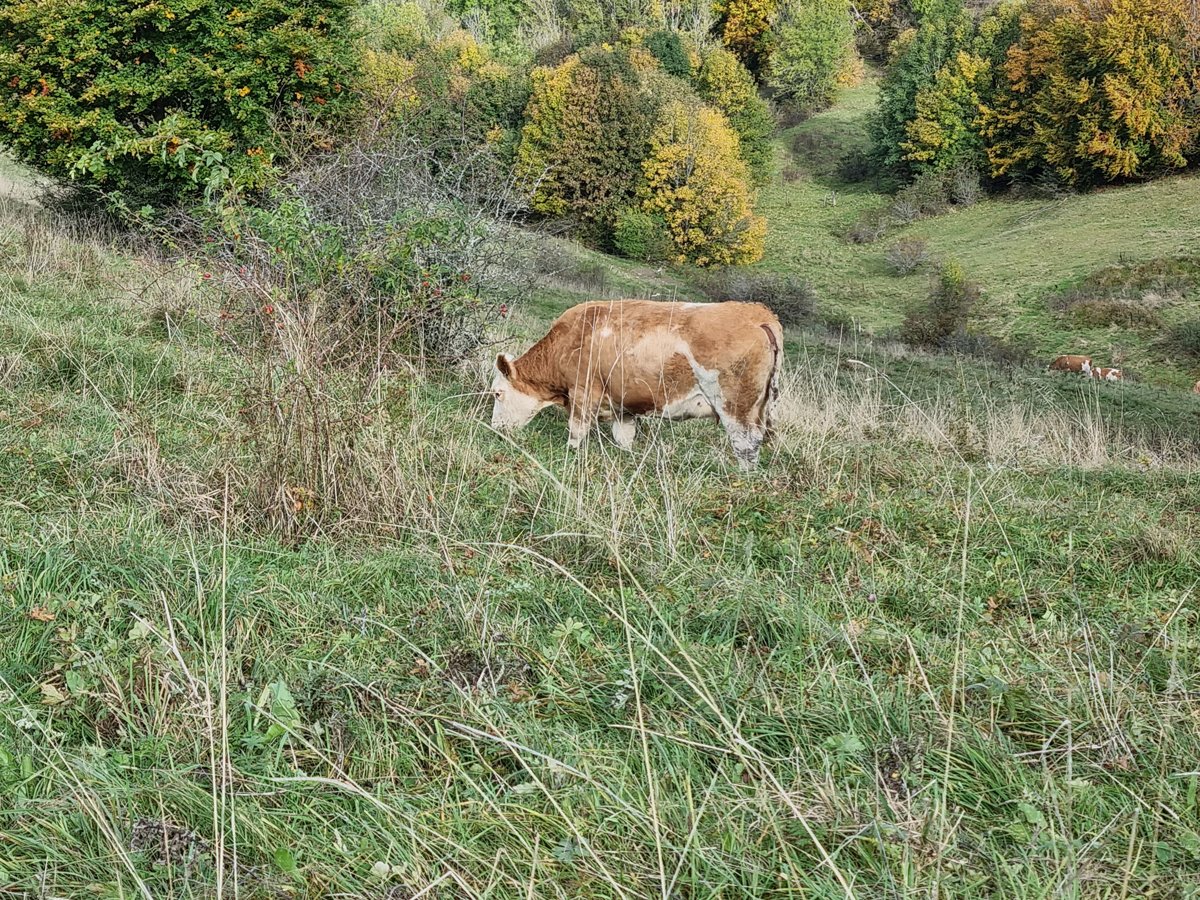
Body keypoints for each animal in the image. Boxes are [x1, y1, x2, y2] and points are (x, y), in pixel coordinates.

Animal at [490, 300, 783, 467]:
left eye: (497, 393)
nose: (495, 429)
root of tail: (758, 313)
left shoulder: (583, 392)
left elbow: (576, 431)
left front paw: (570, 452)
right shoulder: (623, 406)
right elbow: (624, 438)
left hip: (737, 406)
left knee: (746, 445)